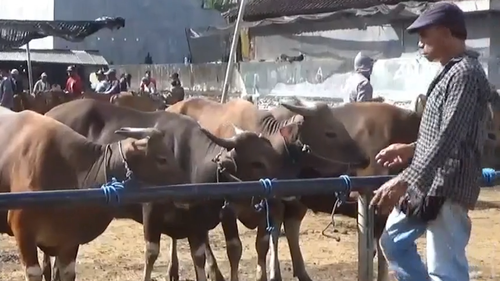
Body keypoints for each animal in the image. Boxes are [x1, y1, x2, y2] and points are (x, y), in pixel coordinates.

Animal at [166, 96, 370, 280]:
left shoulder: (271, 205)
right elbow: (235, 249)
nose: (365, 158)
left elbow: (263, 244)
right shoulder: (227, 211)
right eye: (330, 133)